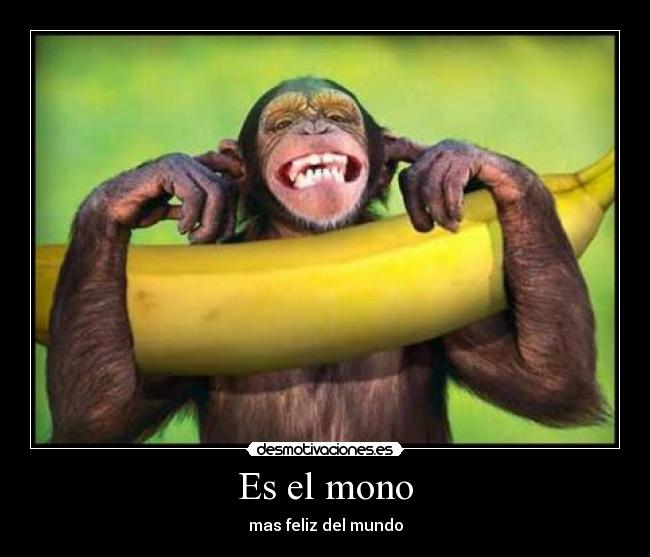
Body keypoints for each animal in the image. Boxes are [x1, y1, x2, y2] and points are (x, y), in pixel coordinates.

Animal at [45, 77, 606, 443]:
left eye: (337, 117)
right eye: (283, 122)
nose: (314, 128)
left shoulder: (462, 314)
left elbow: (546, 382)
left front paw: (465, 162)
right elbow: (102, 413)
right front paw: (147, 185)